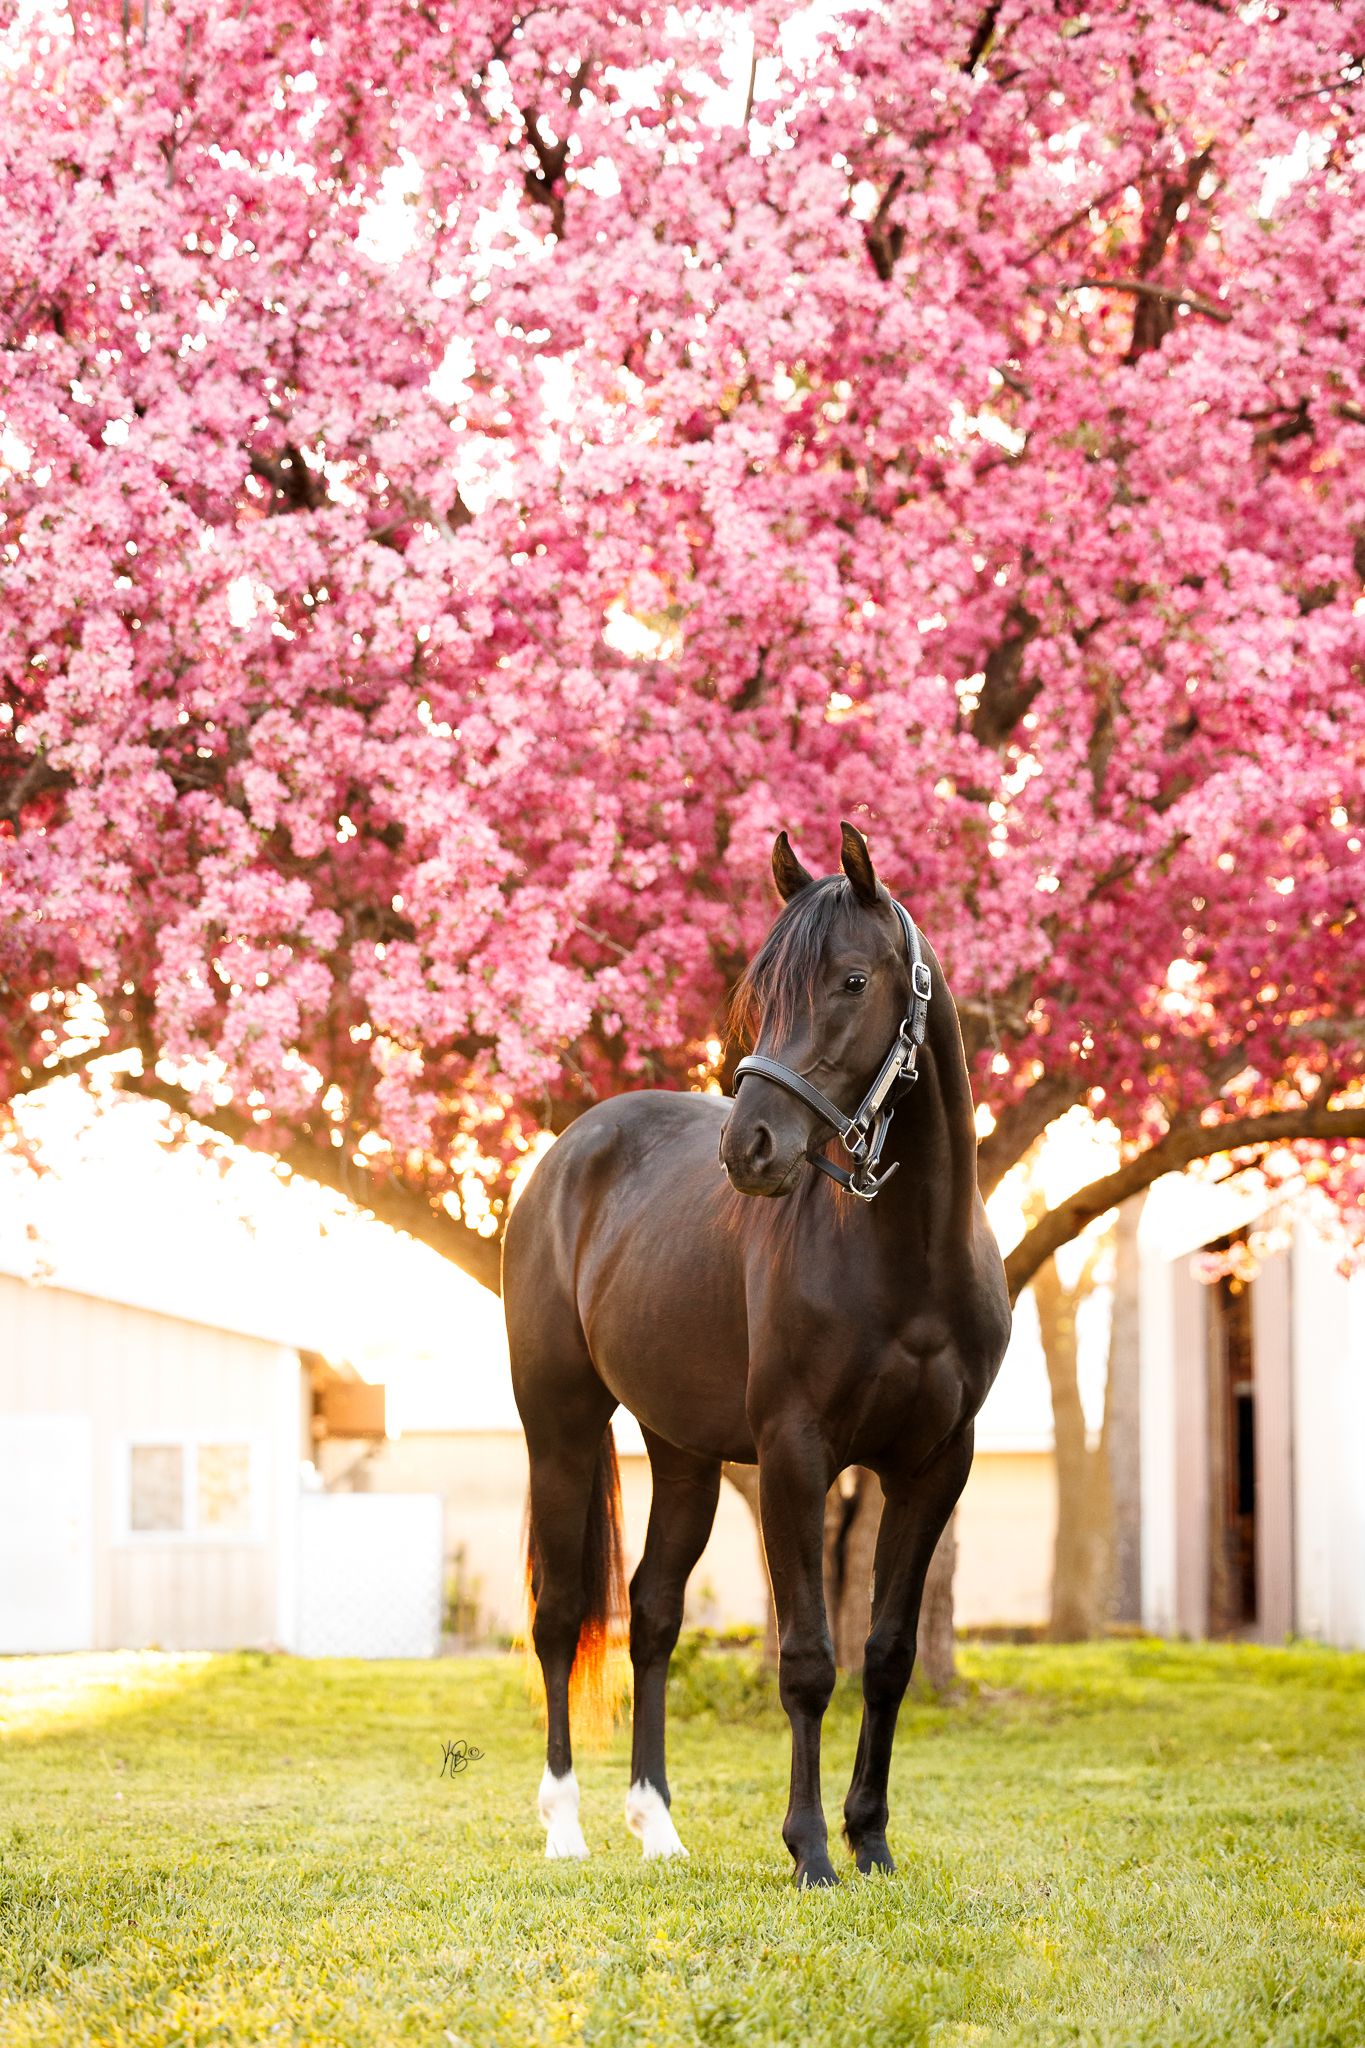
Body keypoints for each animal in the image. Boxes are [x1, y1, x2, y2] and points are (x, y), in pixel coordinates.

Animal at [503, 822, 1012, 1887]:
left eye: (853, 981)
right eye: (760, 994)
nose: (752, 1150)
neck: (909, 1258)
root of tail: (573, 1149)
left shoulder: (935, 1466)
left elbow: (887, 1657)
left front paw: (871, 1841)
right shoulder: (794, 1455)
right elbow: (809, 1659)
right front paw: (810, 1848)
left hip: (683, 1454)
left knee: (652, 1614)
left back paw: (657, 1826)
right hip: (559, 1428)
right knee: (562, 1616)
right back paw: (564, 1826)